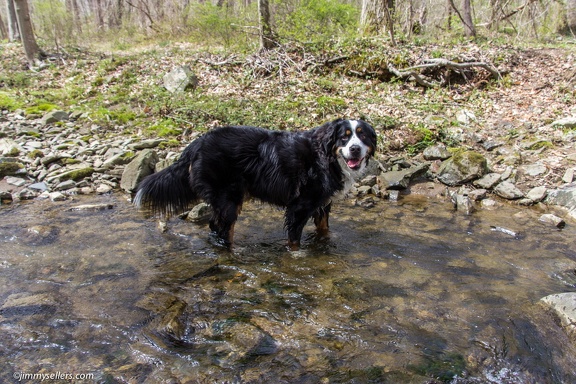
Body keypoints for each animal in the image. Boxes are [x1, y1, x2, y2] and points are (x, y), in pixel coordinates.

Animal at [134, 117, 378, 249]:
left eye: (363, 136)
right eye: (344, 136)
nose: (354, 149)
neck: (326, 157)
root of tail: (197, 143)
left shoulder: (322, 204)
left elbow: (325, 230)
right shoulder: (299, 207)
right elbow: (294, 241)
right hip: (228, 200)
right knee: (222, 229)